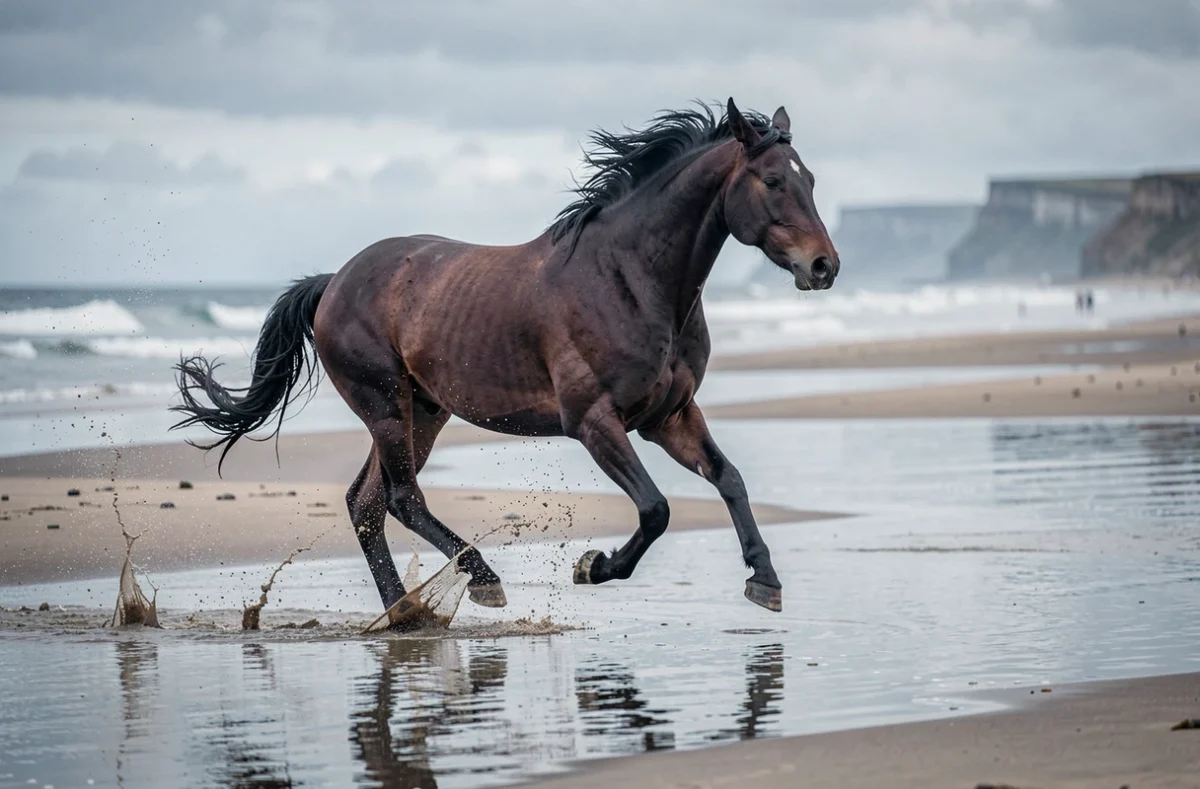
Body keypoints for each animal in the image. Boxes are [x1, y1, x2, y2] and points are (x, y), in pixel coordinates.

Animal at [171, 98, 840, 616]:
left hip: (424, 412)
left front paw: (765, 581)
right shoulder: (595, 422)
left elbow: (729, 480)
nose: (823, 266)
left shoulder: (668, 417)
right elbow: (655, 510)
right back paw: (480, 582)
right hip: (385, 406)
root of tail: (333, 282)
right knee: (401, 498)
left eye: (810, 180)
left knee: (367, 504)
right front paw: (593, 566)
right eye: (773, 182)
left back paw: (404, 613)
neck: (629, 278)